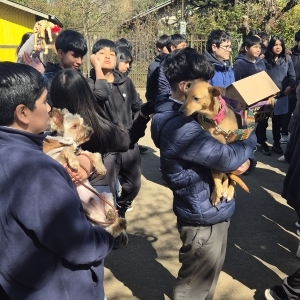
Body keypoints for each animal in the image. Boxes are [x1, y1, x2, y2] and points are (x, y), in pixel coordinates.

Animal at [43, 108, 126, 239]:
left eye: (83, 123)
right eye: (75, 126)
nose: (90, 130)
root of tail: (100, 214)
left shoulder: (83, 152)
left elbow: (95, 154)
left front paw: (101, 168)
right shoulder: (57, 160)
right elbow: (67, 150)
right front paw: (74, 163)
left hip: (106, 195)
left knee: (111, 220)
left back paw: (113, 216)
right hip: (88, 212)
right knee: (109, 228)